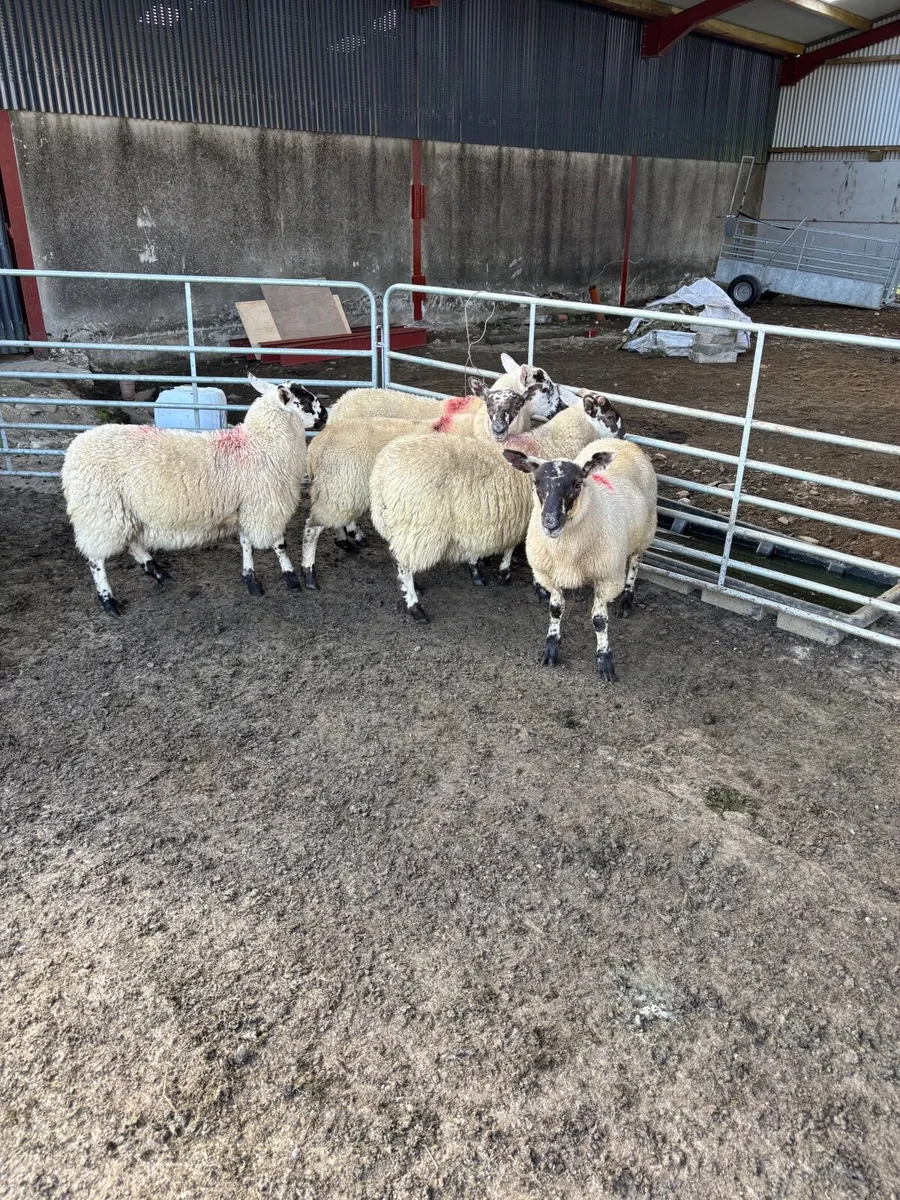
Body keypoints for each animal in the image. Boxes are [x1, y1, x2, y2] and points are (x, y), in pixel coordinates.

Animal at [60, 373, 327, 615]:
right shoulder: (265, 504)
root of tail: (74, 448)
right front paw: (291, 578)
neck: (261, 444)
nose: (325, 415)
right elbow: (278, 544)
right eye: (305, 401)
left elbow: (245, 543)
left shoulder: (246, 504)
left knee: (131, 541)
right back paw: (109, 600)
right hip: (99, 511)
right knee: (96, 559)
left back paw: (156, 571)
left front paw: (251, 579)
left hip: (121, 510)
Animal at [300, 378, 541, 590]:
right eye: (489, 403)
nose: (499, 429)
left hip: (337, 490)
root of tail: (316, 446)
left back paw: (346, 541)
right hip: (342, 487)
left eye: (518, 405)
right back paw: (312, 573)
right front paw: (485, 567)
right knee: (315, 527)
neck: (475, 429)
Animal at [368, 390, 625, 621]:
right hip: (418, 526)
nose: (623, 434)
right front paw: (523, 580)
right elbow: (518, 550)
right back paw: (414, 606)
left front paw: (490, 572)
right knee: (402, 564)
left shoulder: (514, 514)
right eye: (610, 416)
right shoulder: (530, 516)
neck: (555, 441)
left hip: (402, 525)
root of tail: (381, 473)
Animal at [502, 438, 657, 682]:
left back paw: (626, 599)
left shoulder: (606, 577)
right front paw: (551, 648)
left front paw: (604, 660)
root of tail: (619, 441)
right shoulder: (550, 574)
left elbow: (599, 621)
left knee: (634, 563)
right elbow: (555, 610)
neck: (566, 549)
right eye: (536, 482)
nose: (550, 523)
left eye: (577, 483)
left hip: (644, 533)